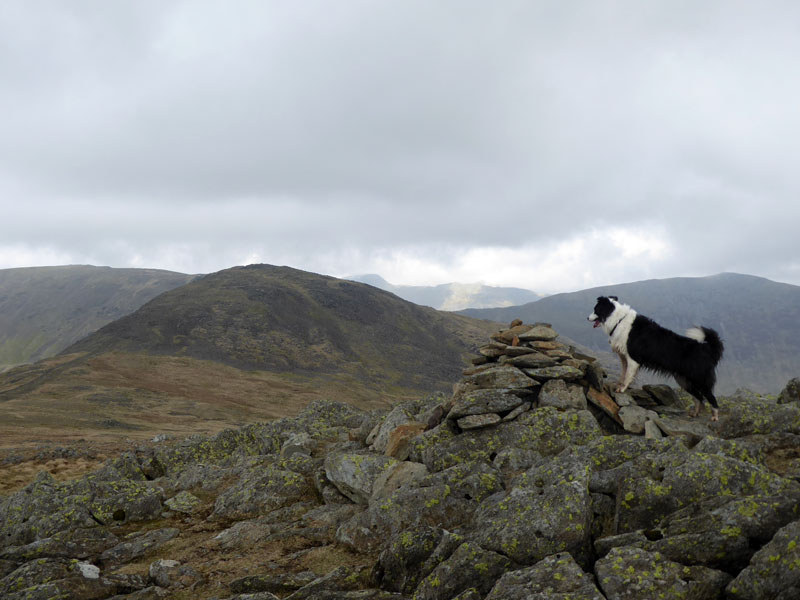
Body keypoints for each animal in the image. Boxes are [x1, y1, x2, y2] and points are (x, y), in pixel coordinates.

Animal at [588, 296, 724, 420]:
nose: (587, 318)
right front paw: (619, 386)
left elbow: (627, 376)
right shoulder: (624, 358)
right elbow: (623, 374)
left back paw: (715, 417)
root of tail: (706, 349)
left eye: (595, 309)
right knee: (698, 398)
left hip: (700, 380)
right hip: (684, 381)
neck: (618, 320)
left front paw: (622, 389)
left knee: (711, 398)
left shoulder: (633, 359)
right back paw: (694, 414)